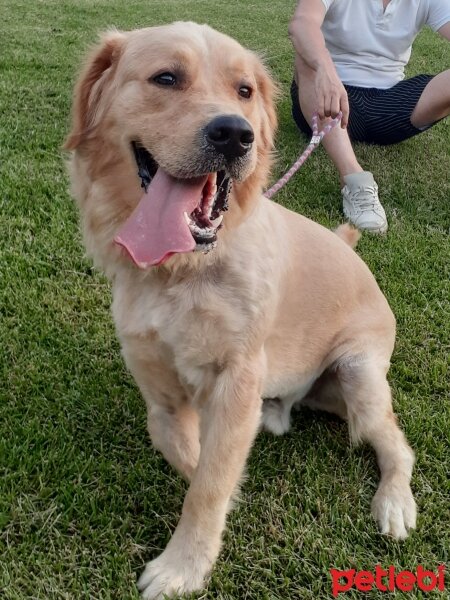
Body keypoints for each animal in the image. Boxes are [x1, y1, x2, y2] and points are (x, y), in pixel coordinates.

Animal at [65, 21, 416, 596]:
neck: (183, 270)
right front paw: (227, 502)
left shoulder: (237, 380)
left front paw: (183, 566)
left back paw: (394, 504)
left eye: (245, 91)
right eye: (166, 78)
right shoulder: (162, 394)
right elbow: (190, 456)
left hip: (360, 375)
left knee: (393, 442)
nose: (234, 135)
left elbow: (208, 484)